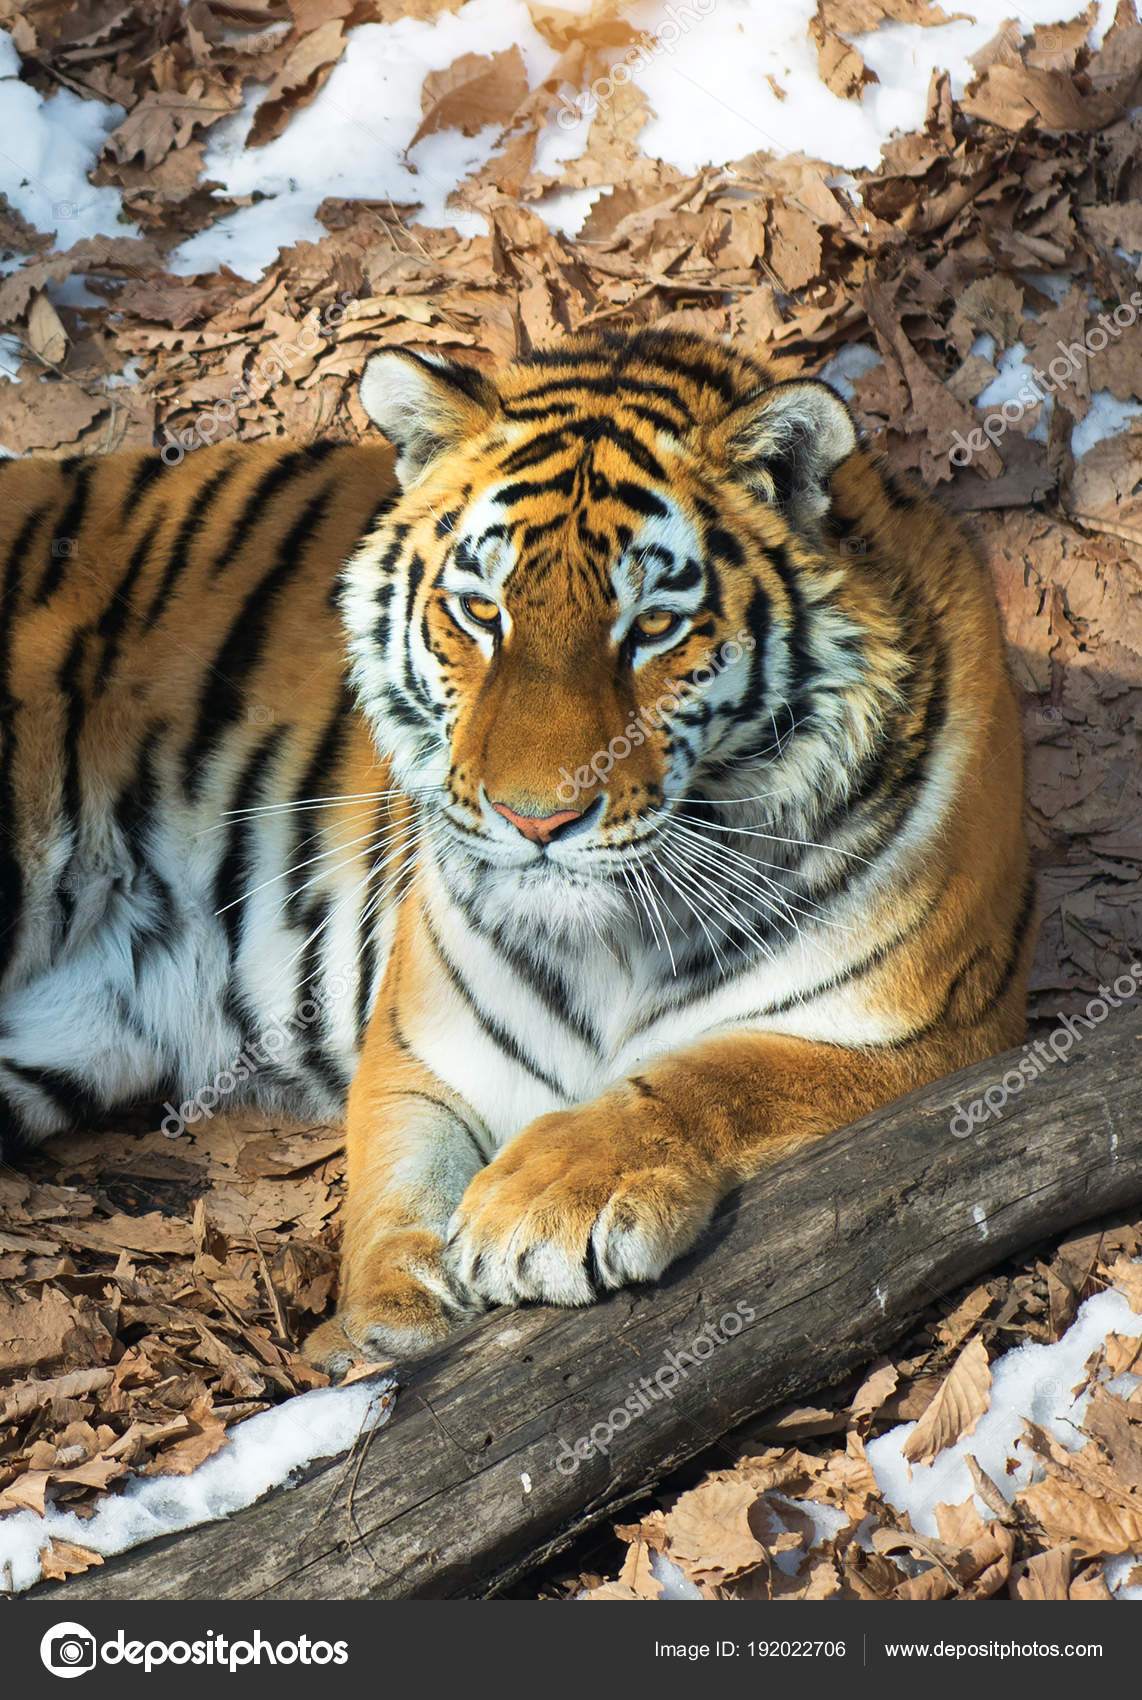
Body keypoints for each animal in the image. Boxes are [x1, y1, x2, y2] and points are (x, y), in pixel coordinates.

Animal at [0, 328, 1033, 1366]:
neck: (615, 942)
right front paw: (392, 1313)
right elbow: (396, 1175)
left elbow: (724, 1075)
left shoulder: (945, 1037)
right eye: (480, 613)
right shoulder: (424, 1044)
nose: (535, 819)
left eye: (655, 626)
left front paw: (544, 1201)